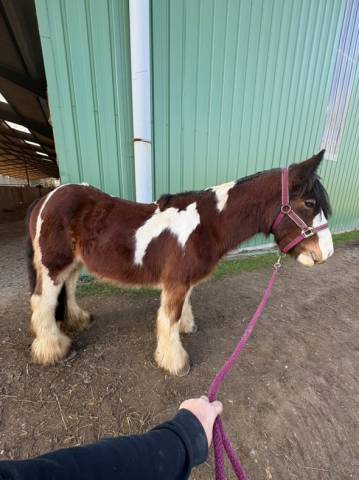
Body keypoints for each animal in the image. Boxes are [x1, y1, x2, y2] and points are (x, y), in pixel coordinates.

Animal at [26, 152, 334, 376]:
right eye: (309, 203)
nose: (327, 253)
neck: (208, 224)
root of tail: (47, 197)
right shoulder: (175, 283)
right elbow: (168, 319)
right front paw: (175, 362)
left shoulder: (185, 282)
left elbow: (185, 306)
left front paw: (188, 327)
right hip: (53, 265)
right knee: (42, 302)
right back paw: (54, 349)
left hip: (72, 265)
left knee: (67, 291)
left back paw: (77, 321)